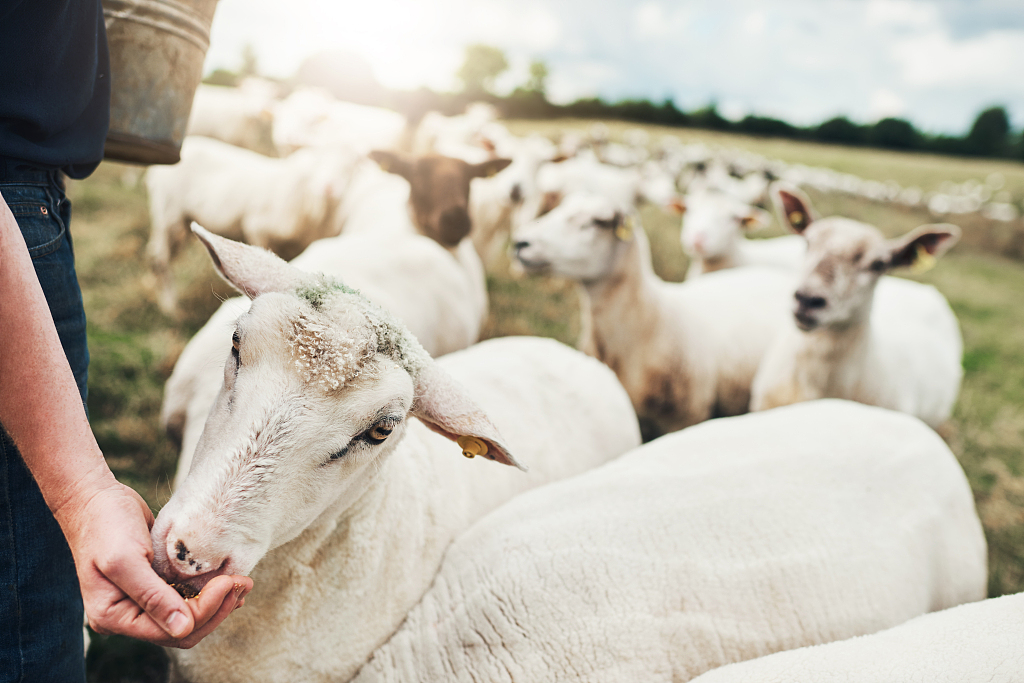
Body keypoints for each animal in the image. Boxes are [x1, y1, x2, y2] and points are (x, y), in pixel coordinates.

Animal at [145, 136, 362, 314]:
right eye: (316, 160)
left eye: (351, 166)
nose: (329, 188)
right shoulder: (257, 229)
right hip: (169, 214)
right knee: (161, 258)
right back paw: (171, 307)